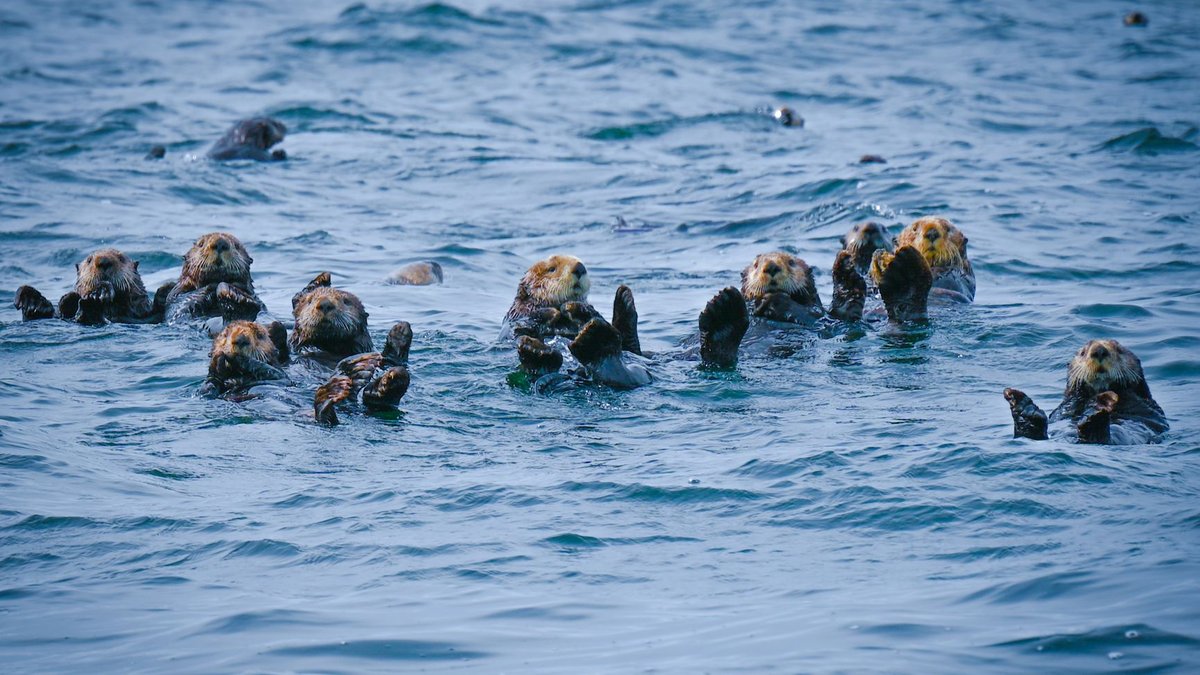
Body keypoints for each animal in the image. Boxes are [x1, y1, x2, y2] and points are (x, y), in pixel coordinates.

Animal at [1004, 339, 1167, 444]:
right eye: (1083, 352)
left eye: (1120, 350)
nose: (1099, 350)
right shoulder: (1065, 406)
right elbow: (1068, 405)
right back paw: (1023, 410)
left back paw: (1096, 412)